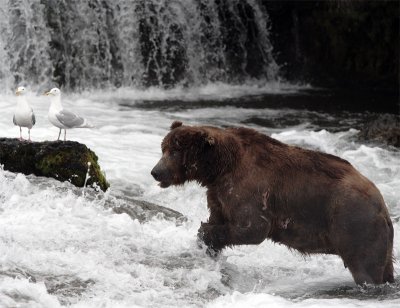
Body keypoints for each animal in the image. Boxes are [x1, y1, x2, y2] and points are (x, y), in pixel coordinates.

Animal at [152, 121, 396, 286]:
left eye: (174, 151)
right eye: (163, 148)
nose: (155, 171)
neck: (219, 168)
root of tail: (382, 206)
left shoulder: (251, 188)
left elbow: (252, 228)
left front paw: (207, 234)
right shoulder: (218, 195)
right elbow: (218, 217)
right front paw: (207, 242)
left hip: (354, 224)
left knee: (366, 267)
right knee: (385, 267)